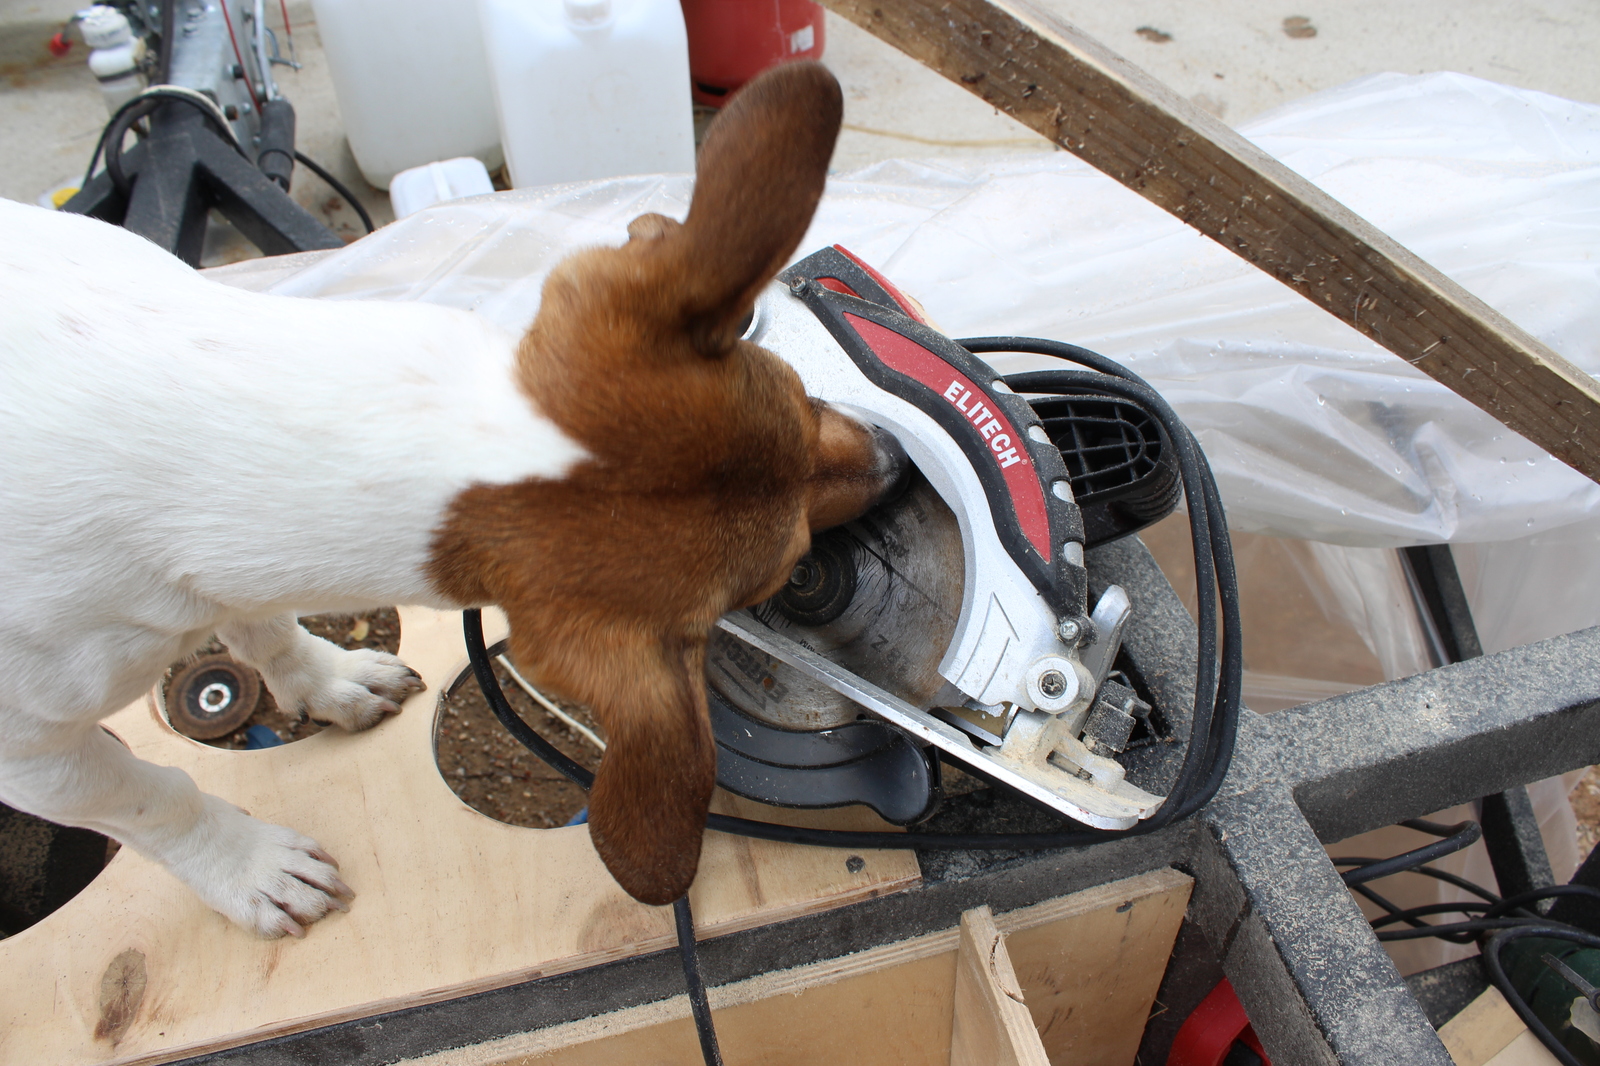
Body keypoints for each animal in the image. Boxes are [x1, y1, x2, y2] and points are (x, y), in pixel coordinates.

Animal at [0, 62, 902, 934]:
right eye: (787, 571)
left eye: (803, 398)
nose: (893, 462)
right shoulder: (38, 757)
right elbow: (151, 800)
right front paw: (249, 868)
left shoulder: (233, 572)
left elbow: (268, 626)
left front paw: (326, 679)